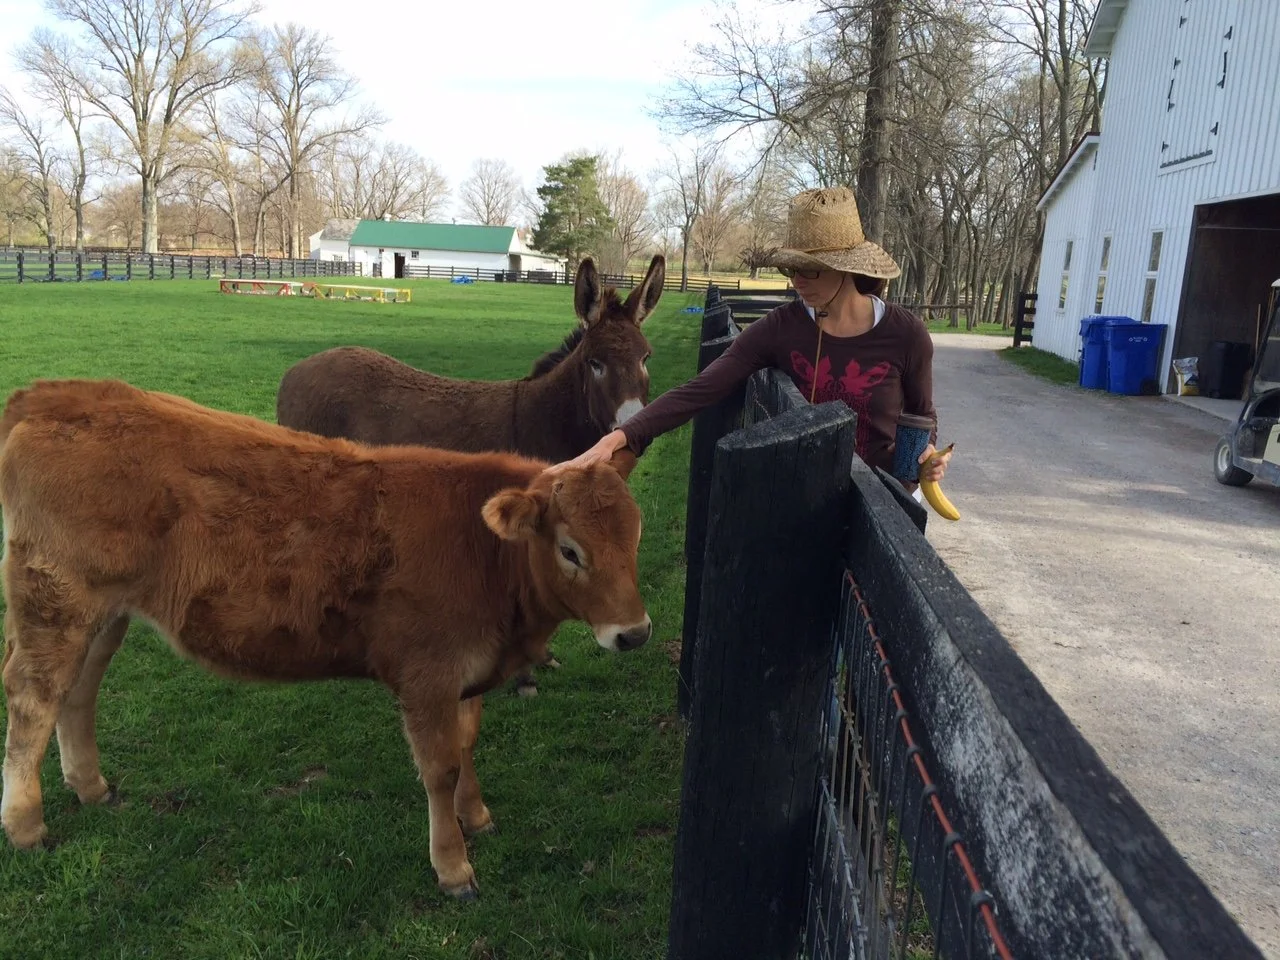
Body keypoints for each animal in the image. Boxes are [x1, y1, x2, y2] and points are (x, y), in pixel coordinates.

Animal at [0, 378, 650, 900]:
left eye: (636, 537)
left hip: (103, 612)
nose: (635, 633)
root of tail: (58, 393)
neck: (482, 549)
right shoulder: (427, 677)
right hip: (56, 601)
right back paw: (26, 824)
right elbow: (439, 767)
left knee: (78, 690)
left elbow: (466, 746)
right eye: (570, 550)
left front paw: (477, 814)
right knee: (33, 699)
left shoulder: (467, 674)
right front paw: (453, 867)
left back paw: (91, 787)